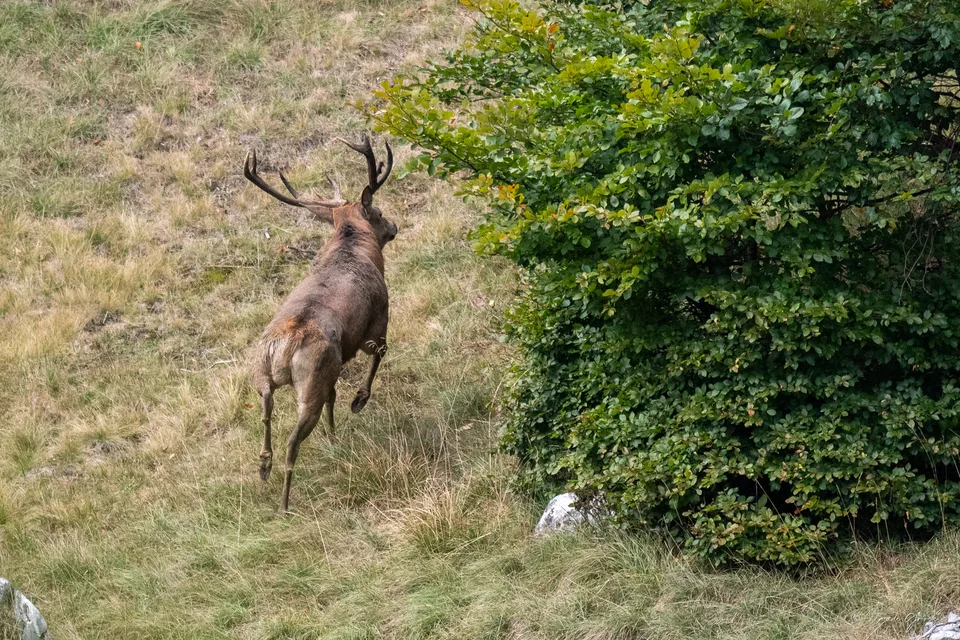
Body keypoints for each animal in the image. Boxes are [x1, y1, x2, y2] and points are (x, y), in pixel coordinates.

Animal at [243, 135, 396, 513]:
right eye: (379, 212)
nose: (394, 227)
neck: (353, 248)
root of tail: (286, 349)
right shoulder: (377, 319)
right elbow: (380, 354)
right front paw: (359, 401)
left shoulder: (334, 365)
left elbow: (333, 395)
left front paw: (333, 434)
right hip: (311, 378)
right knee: (292, 440)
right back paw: (284, 503)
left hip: (262, 368)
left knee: (266, 408)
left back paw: (263, 466)